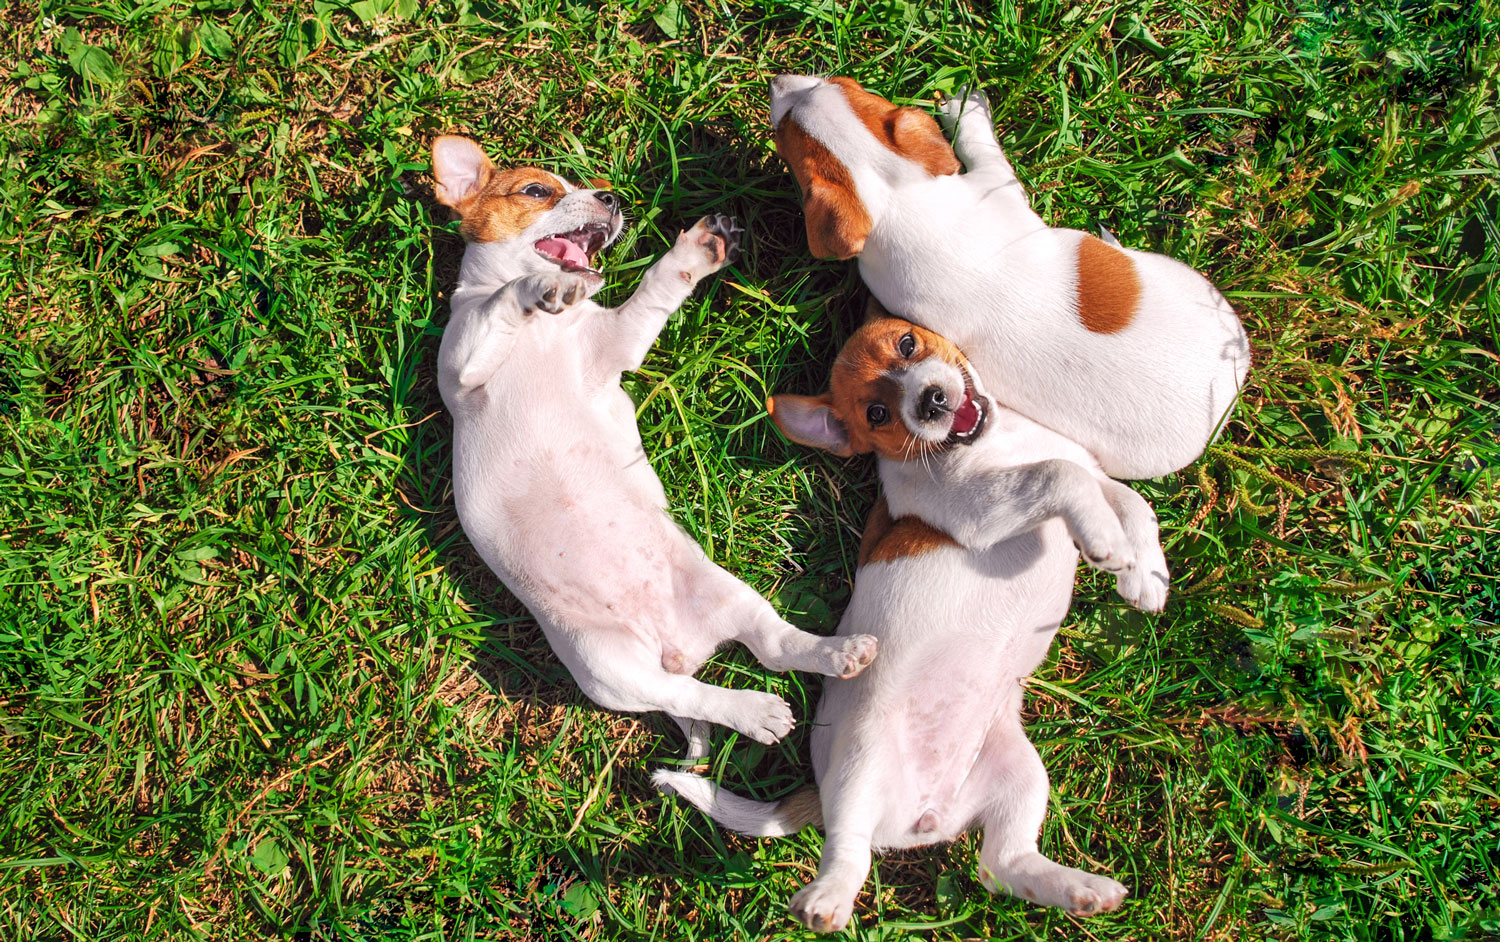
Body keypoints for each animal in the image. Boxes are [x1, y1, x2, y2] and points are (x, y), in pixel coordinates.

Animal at [429, 132, 876, 753]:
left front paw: (699, 251)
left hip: (726, 593)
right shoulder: (463, 364)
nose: (611, 198)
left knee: (774, 648)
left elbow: (655, 290)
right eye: (538, 190)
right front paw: (541, 286)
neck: (549, 331)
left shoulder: (613, 344)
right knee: (694, 695)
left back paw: (840, 654)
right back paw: (757, 712)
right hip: (609, 668)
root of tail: (678, 648)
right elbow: (503, 301)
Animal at [651, 315, 1164, 930]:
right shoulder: (984, 509)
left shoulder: (1086, 472)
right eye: (877, 414)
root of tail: (926, 817)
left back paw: (1081, 890)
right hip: (861, 764)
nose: (932, 399)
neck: (998, 441)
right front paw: (1106, 541)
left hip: (1022, 773)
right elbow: (1058, 476)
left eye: (907, 343)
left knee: (1002, 865)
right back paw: (825, 900)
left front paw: (1145, 574)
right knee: (848, 850)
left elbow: (1128, 498)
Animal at [768, 75, 1248, 477]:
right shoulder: (994, 183)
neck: (896, 200)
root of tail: (1230, 389)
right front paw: (967, 111)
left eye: (837, 81)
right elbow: (983, 148)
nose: (777, 80)